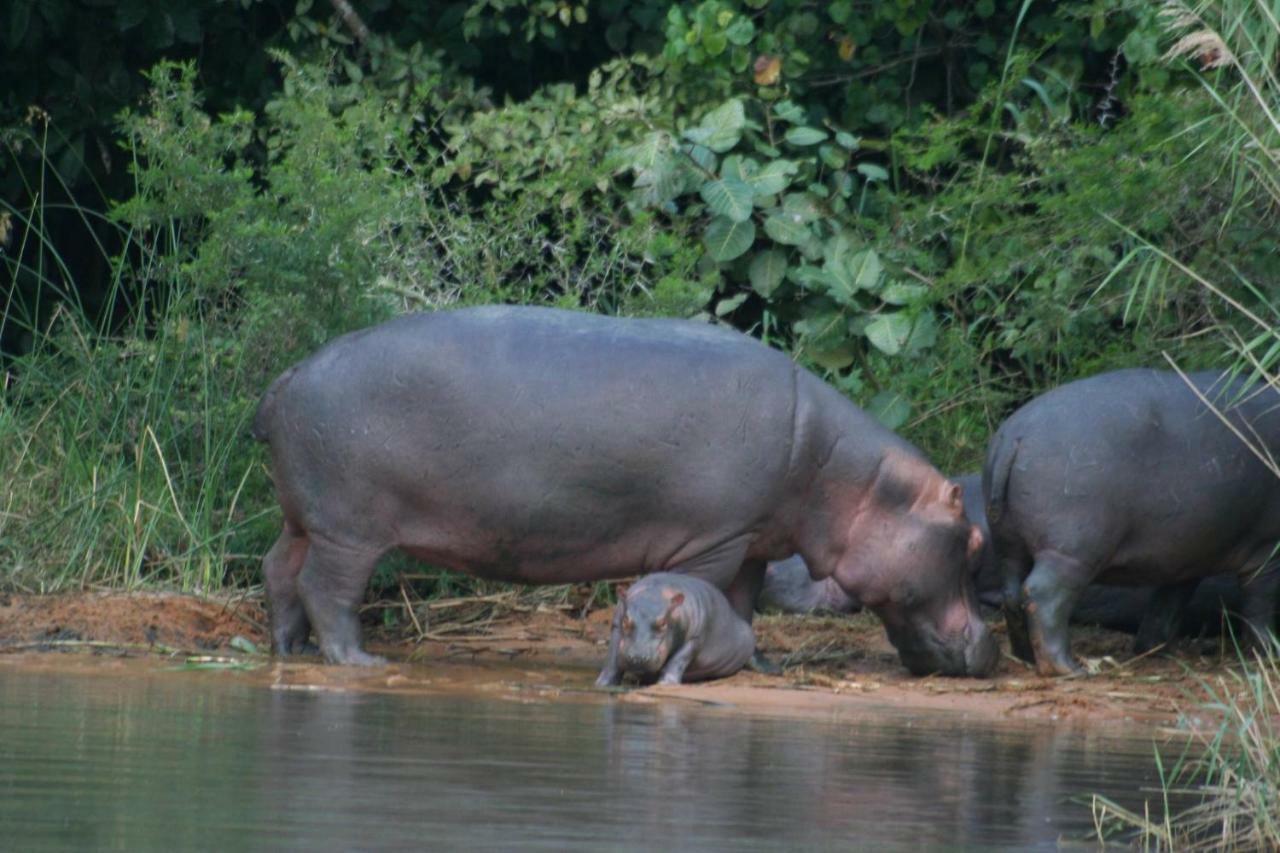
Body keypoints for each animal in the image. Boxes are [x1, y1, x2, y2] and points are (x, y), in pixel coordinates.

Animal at [257, 303, 998, 671]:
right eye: (971, 538)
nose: (990, 645)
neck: (848, 478)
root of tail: (288, 375)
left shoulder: (751, 538)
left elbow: (744, 603)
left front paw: (756, 664)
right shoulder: (712, 540)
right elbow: (715, 593)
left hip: (304, 516)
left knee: (279, 569)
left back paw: (289, 649)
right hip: (349, 527)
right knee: (328, 588)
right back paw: (359, 662)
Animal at [593, 571, 752, 686]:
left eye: (663, 623)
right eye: (626, 620)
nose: (638, 658)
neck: (655, 591)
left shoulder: (695, 638)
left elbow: (677, 660)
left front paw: (665, 684)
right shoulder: (616, 626)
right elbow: (612, 657)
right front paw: (602, 684)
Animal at [983, 368, 1280, 676]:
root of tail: (1015, 436)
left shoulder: (1187, 553)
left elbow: (1169, 602)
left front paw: (1158, 649)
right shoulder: (1266, 547)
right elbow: (1259, 602)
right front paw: (1269, 651)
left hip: (1010, 544)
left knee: (1012, 593)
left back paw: (1026, 657)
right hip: (1071, 551)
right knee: (1044, 595)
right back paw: (1070, 669)